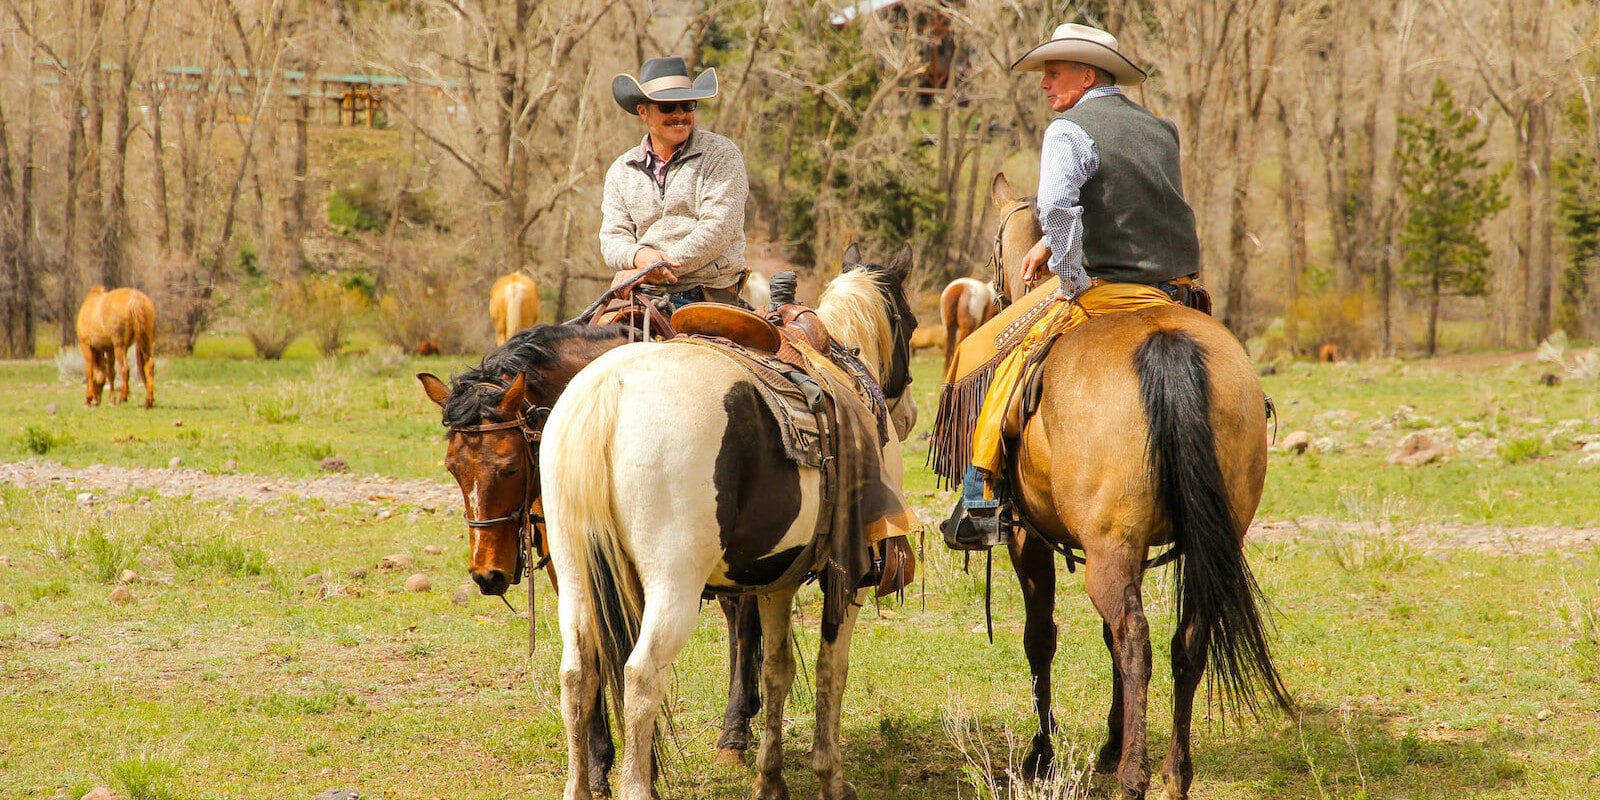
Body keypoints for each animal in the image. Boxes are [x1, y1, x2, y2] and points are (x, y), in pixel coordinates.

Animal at [412, 323, 761, 793]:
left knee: (743, 625)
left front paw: (643, 770)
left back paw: (734, 735)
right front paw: (597, 767)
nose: (487, 575)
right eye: (452, 468)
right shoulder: (577, 576)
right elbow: (589, 662)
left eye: (509, 467)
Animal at [540, 246, 915, 800]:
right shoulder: (845, 574)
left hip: (573, 576)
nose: (907, 416)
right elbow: (831, 670)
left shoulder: (777, 579)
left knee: (577, 674)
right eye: (910, 322)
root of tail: (609, 391)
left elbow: (778, 668)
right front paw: (830, 777)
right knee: (641, 676)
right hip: (672, 586)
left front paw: (770, 780)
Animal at [934, 176, 1299, 800]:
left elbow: (1041, 636)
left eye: (992, 255)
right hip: (1197, 545)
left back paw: (1135, 775)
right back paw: (1175, 772)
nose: (1003, 294)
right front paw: (1108, 741)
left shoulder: (1028, 541)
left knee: (1136, 640)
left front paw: (1043, 754)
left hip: (1108, 550)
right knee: (1186, 641)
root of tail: (1165, 342)